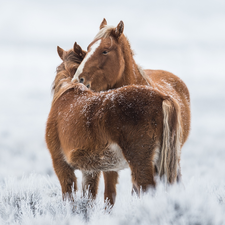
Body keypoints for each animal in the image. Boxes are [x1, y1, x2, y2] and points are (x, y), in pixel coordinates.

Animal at [45, 43, 183, 204]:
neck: (67, 92)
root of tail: (162, 97)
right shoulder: (90, 171)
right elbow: (88, 200)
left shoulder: (61, 165)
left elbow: (69, 198)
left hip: (141, 163)